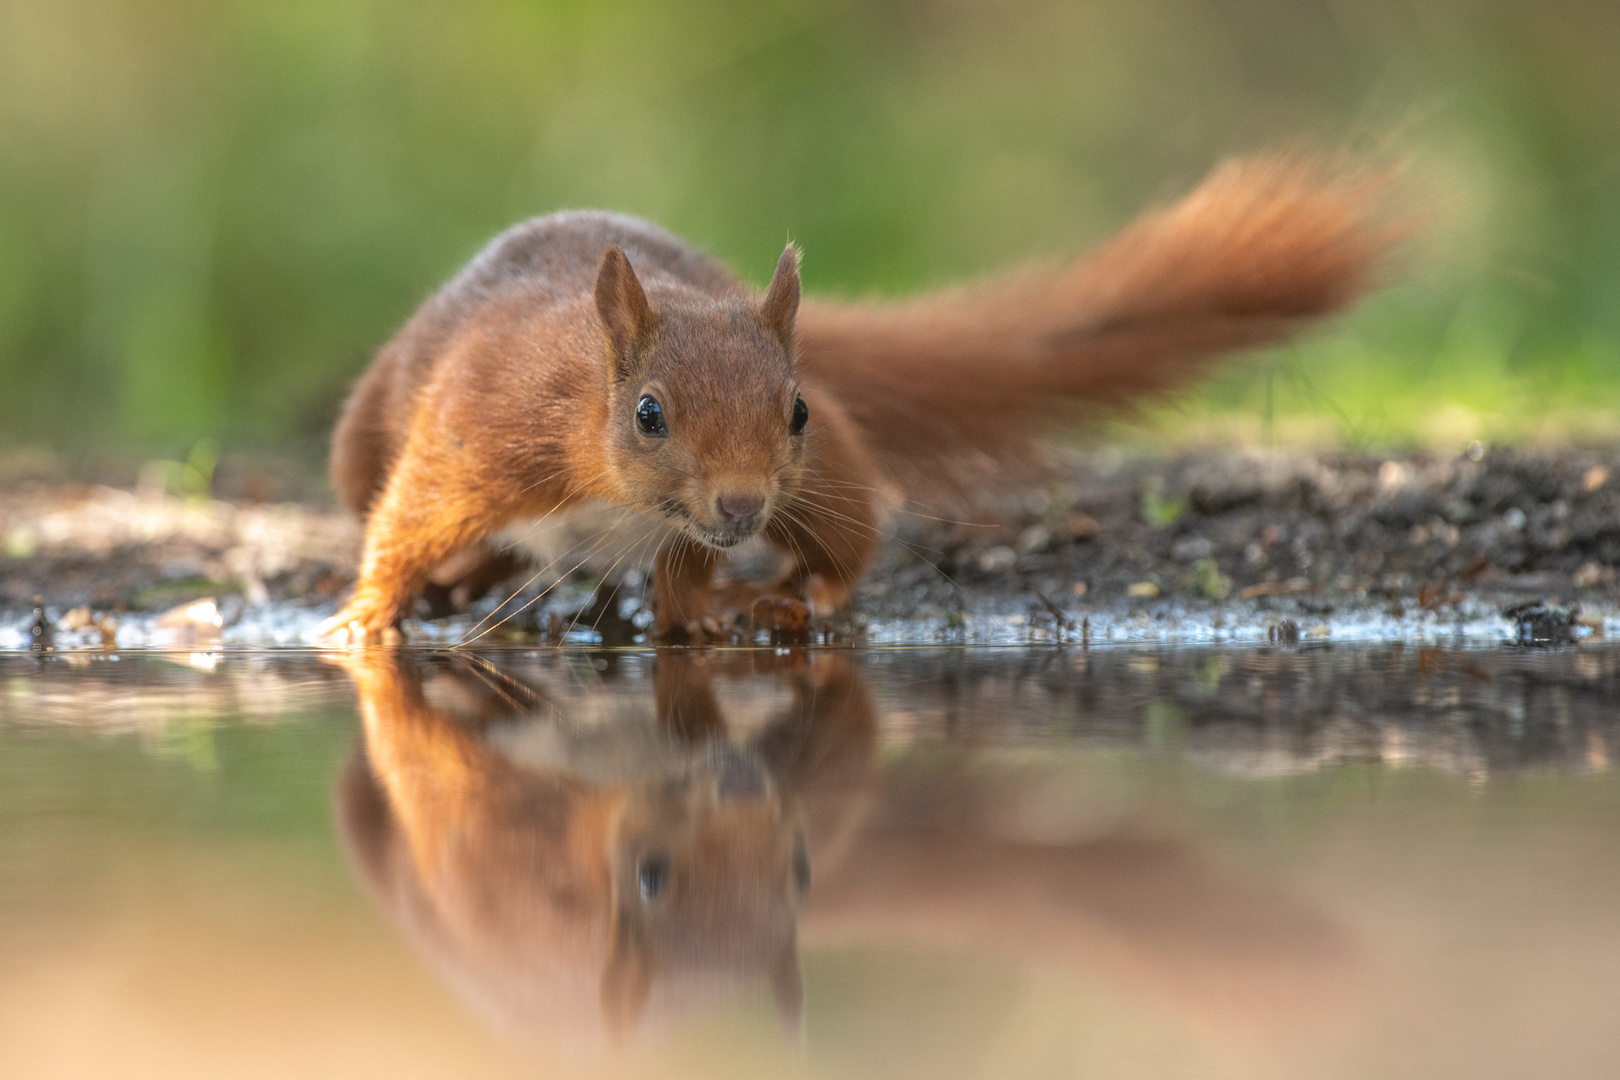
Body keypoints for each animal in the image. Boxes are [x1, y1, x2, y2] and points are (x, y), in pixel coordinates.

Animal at [315, 152, 1393, 641]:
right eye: (649, 414)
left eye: (790, 410)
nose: (741, 505)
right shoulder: (483, 433)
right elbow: (408, 522)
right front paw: (364, 618)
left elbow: (689, 577)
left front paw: (708, 618)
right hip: (362, 436)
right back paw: (464, 583)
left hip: (827, 477)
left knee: (843, 538)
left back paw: (789, 597)